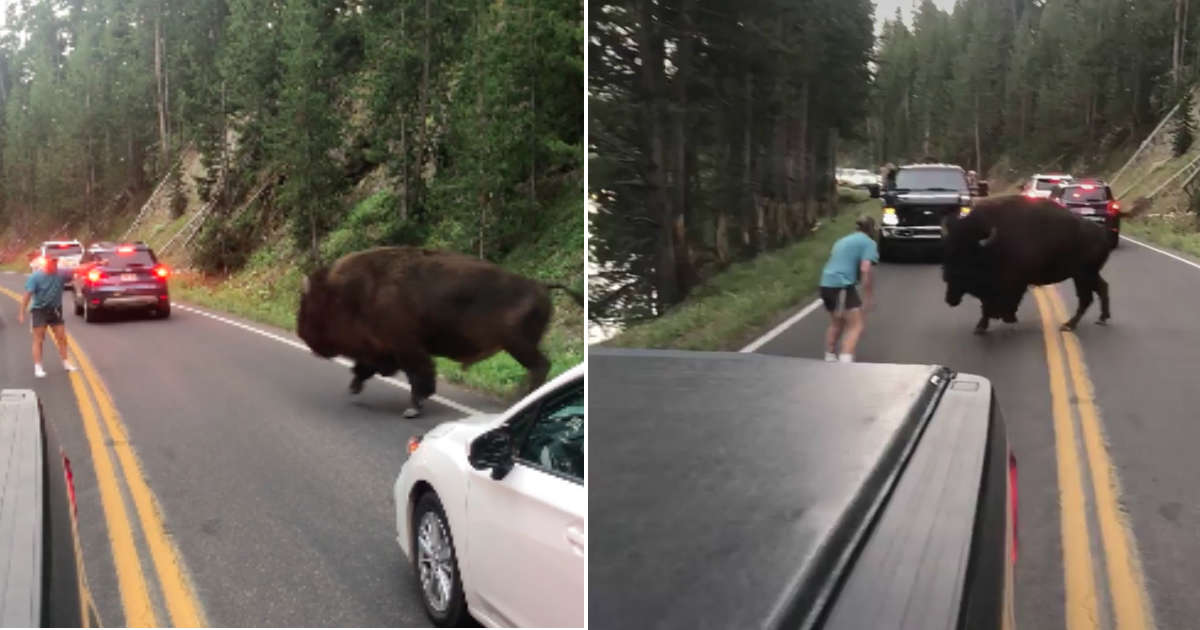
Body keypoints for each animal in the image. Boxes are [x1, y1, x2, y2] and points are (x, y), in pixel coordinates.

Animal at [296, 246, 582, 417]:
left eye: (311, 304)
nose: (301, 333)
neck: (354, 290)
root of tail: (541, 286)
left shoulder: (406, 347)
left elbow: (419, 374)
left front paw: (413, 408)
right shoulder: (383, 348)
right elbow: (366, 368)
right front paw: (354, 387)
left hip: (518, 344)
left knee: (540, 365)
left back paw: (518, 397)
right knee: (540, 367)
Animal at [942, 195, 1112, 333]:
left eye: (967, 255)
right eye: (948, 251)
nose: (950, 298)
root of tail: (1102, 234)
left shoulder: (1013, 282)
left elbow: (999, 302)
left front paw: (1001, 320)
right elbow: (987, 304)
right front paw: (985, 325)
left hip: (1082, 275)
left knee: (1086, 298)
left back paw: (1069, 325)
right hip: (1089, 274)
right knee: (1102, 288)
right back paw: (1101, 318)